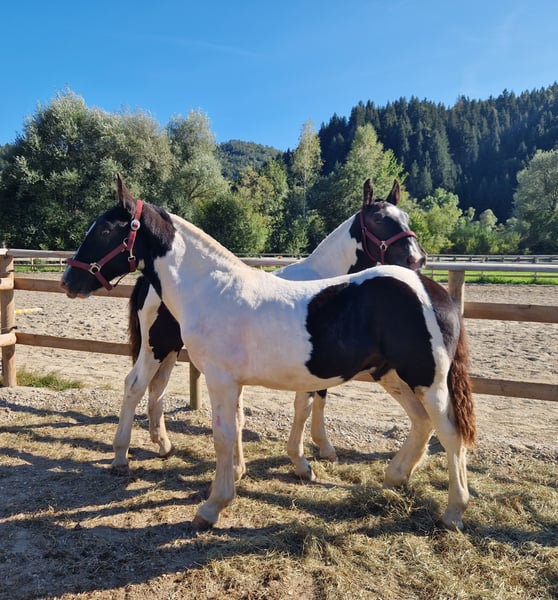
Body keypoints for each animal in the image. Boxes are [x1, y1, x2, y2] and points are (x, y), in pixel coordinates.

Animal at [111, 178, 427, 480]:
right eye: (378, 219)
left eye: (405, 217)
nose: (417, 259)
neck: (326, 284)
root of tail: (146, 280)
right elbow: (305, 406)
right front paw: (303, 461)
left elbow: (321, 399)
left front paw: (324, 448)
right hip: (156, 346)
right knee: (135, 385)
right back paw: (122, 455)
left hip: (171, 349)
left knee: (158, 387)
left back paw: (163, 444)